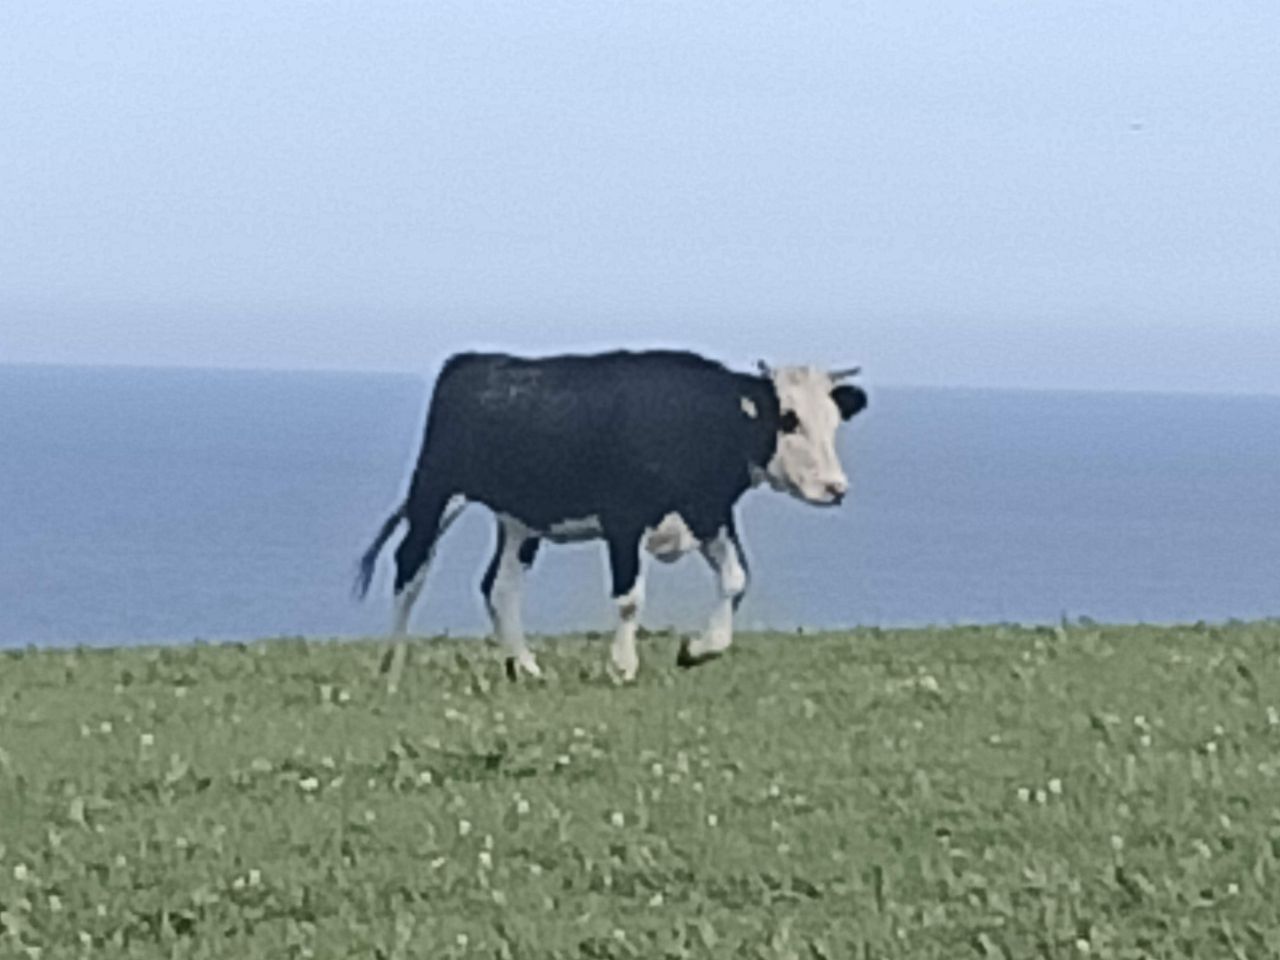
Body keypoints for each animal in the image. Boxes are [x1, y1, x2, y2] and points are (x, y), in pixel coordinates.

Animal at [354, 349, 867, 681]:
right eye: (789, 419)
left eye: (833, 421)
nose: (836, 488)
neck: (701, 418)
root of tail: (473, 361)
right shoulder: (624, 519)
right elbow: (629, 598)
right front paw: (623, 666)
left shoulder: (708, 511)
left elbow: (736, 578)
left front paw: (698, 649)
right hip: (435, 489)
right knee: (410, 565)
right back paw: (391, 666)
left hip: (519, 519)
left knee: (499, 586)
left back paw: (526, 666)